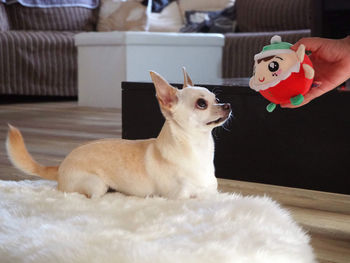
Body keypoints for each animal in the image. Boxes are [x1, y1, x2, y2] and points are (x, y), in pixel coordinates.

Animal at [6, 69, 231, 199]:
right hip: (96, 185)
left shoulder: (212, 191)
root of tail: (61, 165)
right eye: (201, 104)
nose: (227, 105)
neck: (197, 148)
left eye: (216, 99)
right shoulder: (179, 197)